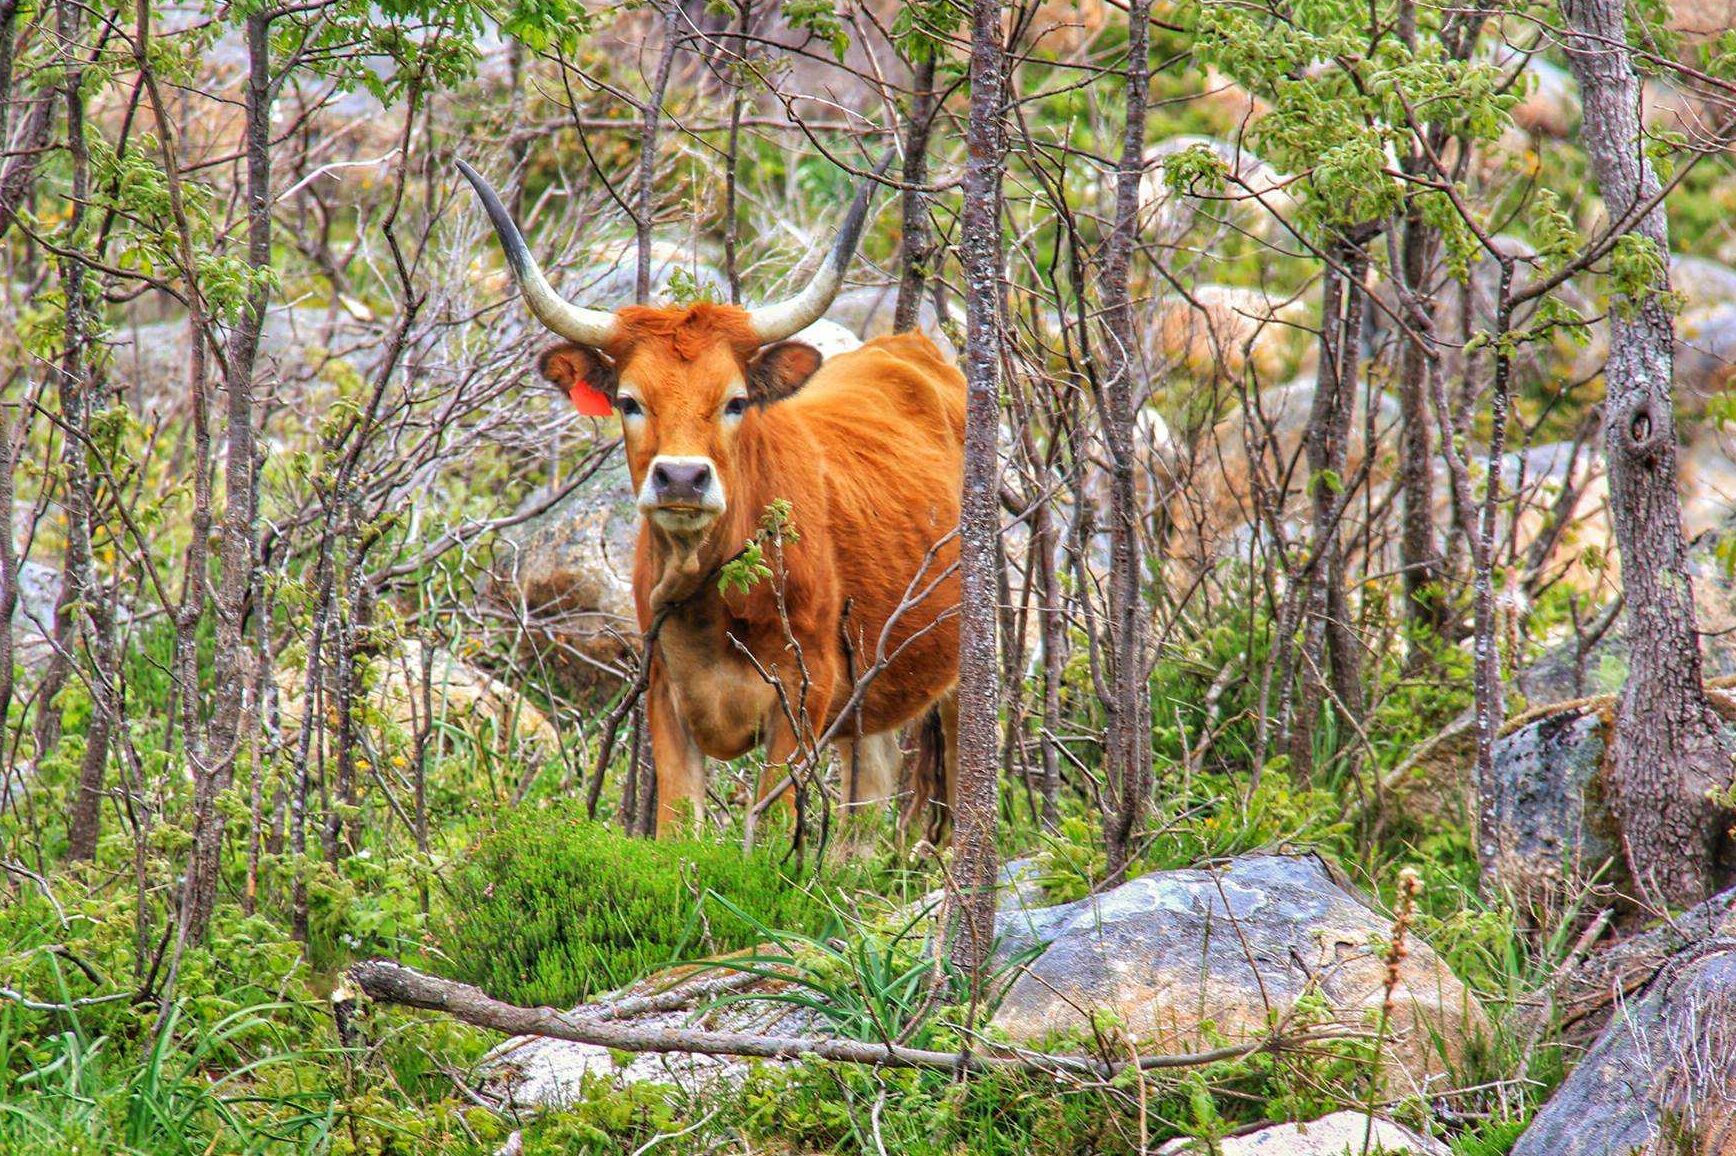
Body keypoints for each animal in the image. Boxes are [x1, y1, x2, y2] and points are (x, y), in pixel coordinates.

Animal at [457, 160, 964, 839]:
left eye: (735, 400)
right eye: (629, 401)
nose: (680, 478)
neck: (712, 600)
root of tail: (909, 349)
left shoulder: (803, 698)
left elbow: (771, 828)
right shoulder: (664, 694)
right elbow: (676, 829)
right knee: (865, 803)